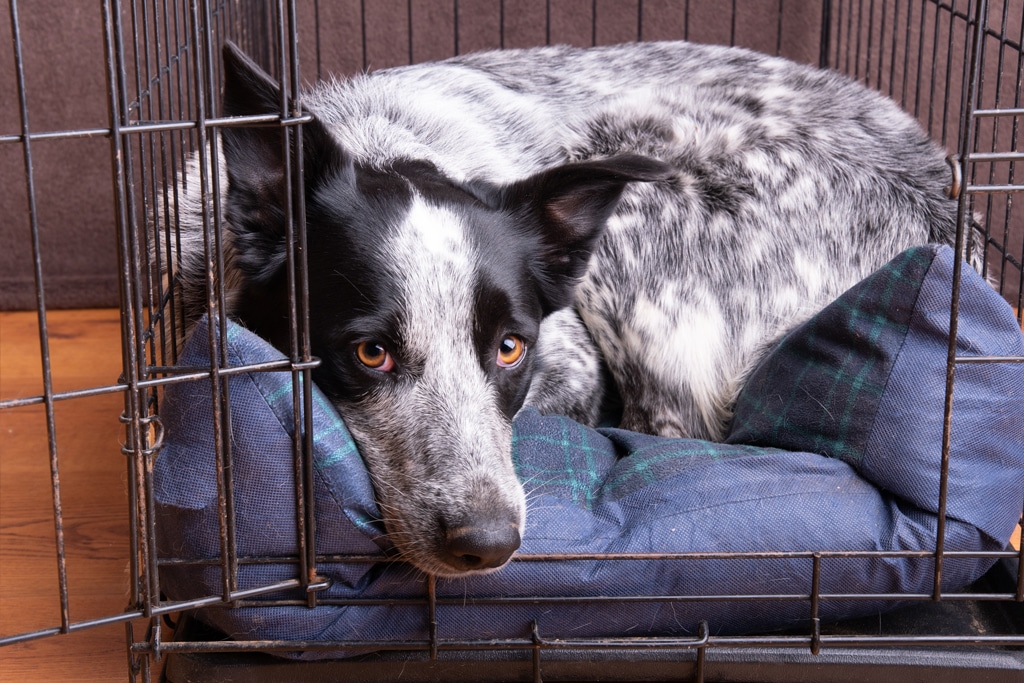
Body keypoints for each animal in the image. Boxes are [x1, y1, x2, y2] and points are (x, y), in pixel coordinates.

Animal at [165, 41, 958, 577]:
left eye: (510, 347)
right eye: (370, 352)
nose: (488, 543)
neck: (385, 143)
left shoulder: (573, 365)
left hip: (634, 193)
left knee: (674, 425)